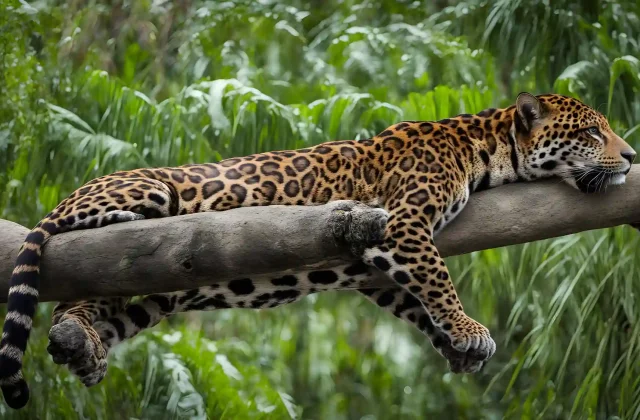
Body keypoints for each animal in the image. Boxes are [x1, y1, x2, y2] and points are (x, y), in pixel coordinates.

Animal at [0, 92, 635, 409]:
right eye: (593, 131)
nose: (630, 156)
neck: (487, 148)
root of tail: (69, 192)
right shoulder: (401, 224)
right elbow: (437, 280)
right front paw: (465, 327)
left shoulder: (374, 262)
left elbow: (414, 300)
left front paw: (454, 345)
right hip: (146, 193)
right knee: (81, 255)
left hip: (155, 292)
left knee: (85, 307)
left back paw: (82, 346)